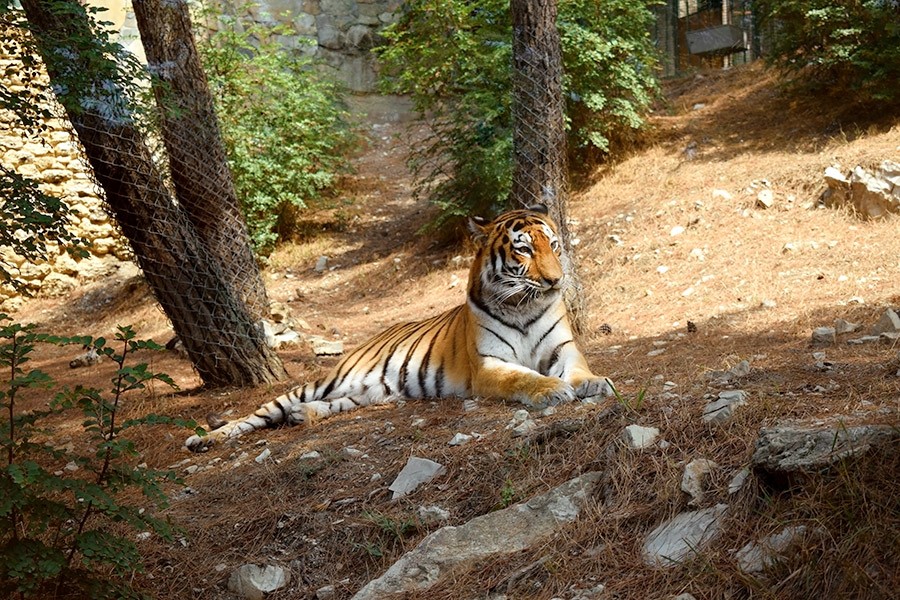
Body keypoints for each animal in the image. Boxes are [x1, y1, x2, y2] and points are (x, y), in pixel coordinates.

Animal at [186, 205, 616, 450]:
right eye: (524, 249)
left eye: (554, 245)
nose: (555, 281)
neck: (524, 307)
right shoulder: (488, 366)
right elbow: (522, 377)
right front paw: (551, 390)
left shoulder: (564, 349)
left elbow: (580, 370)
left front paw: (595, 383)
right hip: (320, 382)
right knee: (255, 415)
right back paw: (204, 440)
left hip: (367, 394)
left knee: (332, 404)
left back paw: (301, 416)